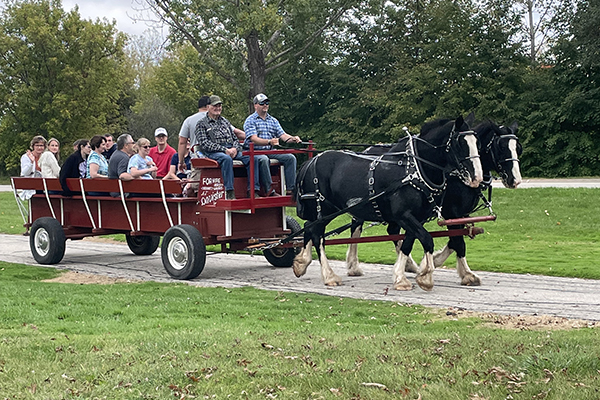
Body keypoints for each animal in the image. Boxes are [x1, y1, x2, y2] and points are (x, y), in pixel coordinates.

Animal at [292, 115, 482, 290]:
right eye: (460, 143)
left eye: (477, 142)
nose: (477, 178)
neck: (414, 169)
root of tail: (310, 161)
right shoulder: (403, 215)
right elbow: (428, 239)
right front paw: (426, 276)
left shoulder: (416, 217)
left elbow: (409, 242)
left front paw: (401, 276)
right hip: (324, 209)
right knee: (317, 236)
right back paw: (329, 275)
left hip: (325, 211)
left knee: (309, 226)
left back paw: (302, 262)